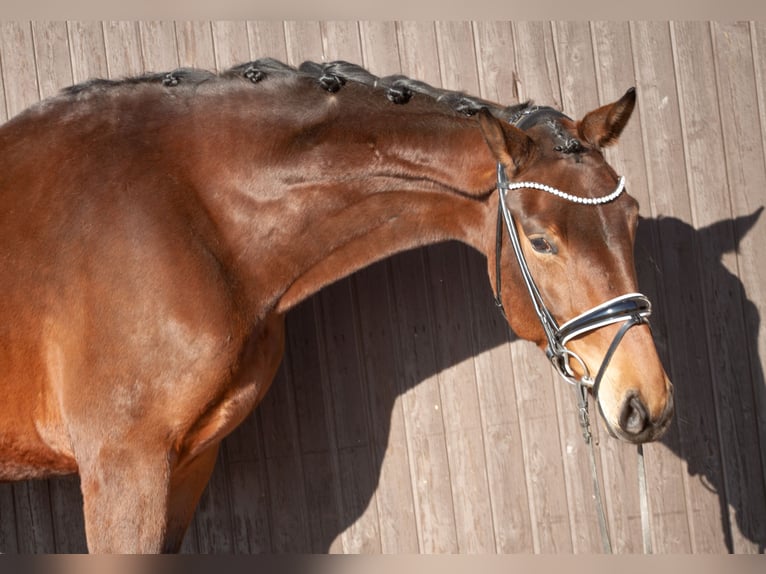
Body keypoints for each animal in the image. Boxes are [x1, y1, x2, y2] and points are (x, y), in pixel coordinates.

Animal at [0, 58, 672, 552]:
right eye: (540, 241)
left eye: (632, 217)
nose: (648, 403)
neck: (185, 210)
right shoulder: (123, 465)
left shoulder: (186, 466)